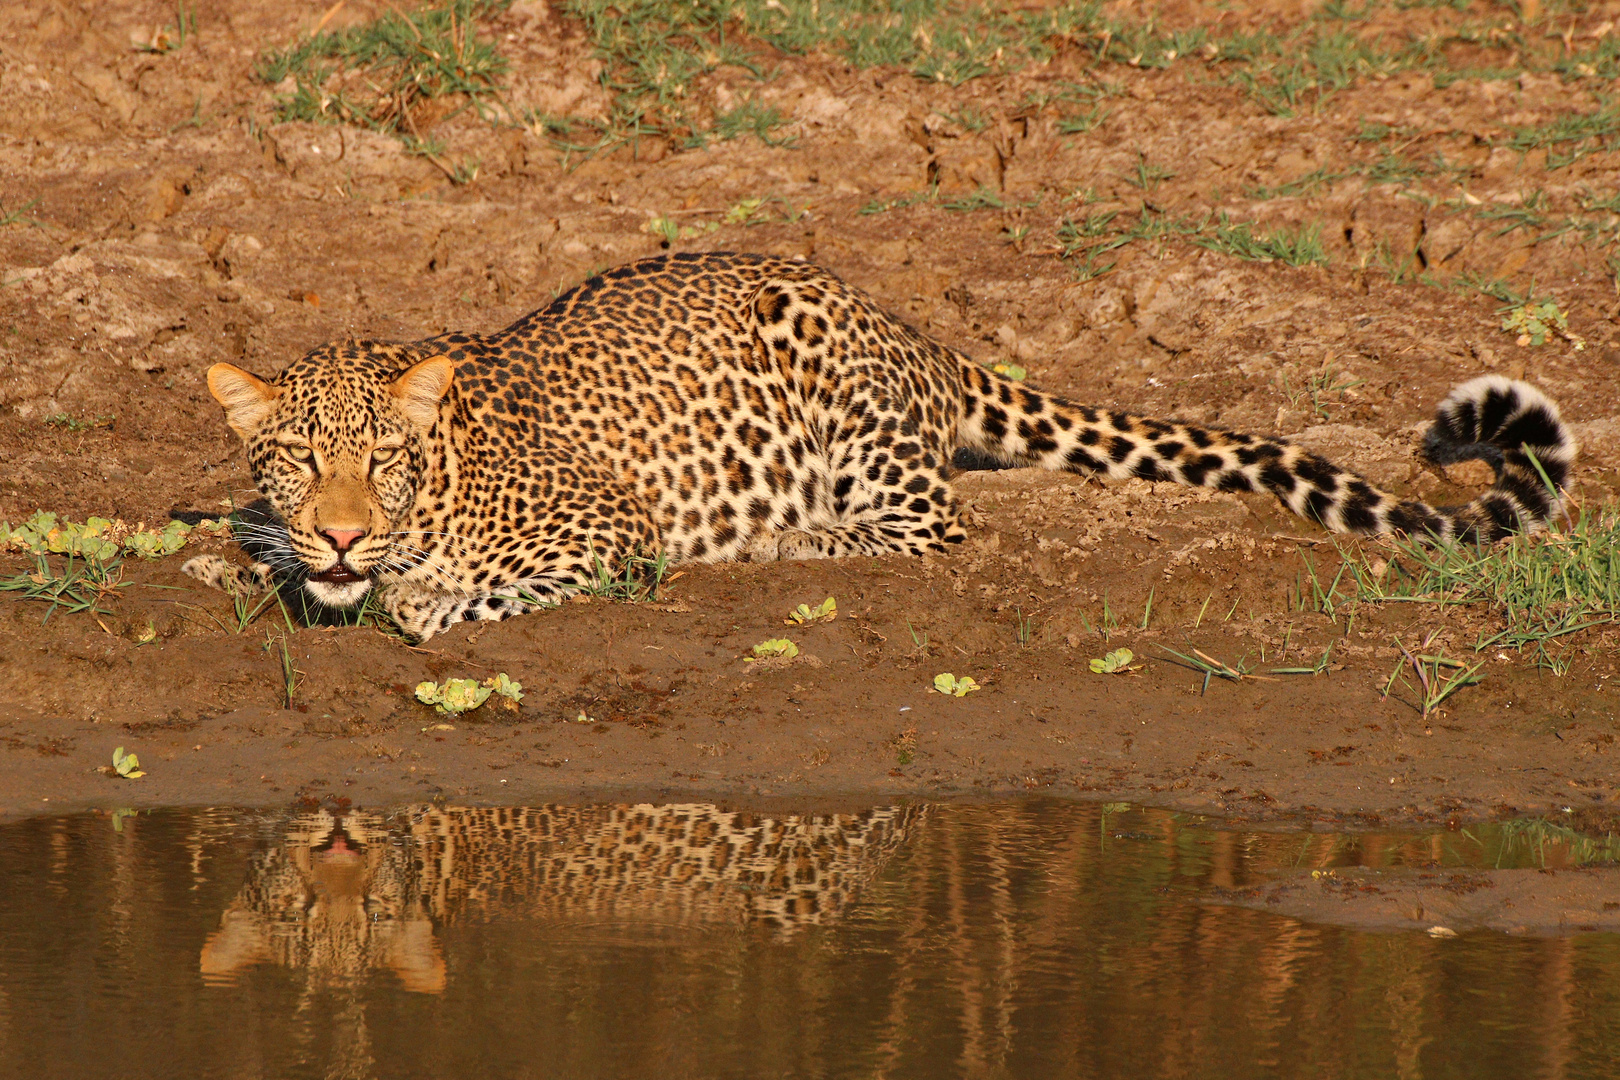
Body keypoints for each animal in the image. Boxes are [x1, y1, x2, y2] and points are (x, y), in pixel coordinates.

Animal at [183, 250, 1574, 641]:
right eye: (296, 457)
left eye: (386, 459)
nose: (341, 530)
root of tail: (911, 329)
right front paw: (235, 549)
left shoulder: (608, 528)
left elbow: (449, 594)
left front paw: (397, 594)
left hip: (851, 419)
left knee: (931, 525)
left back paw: (788, 543)